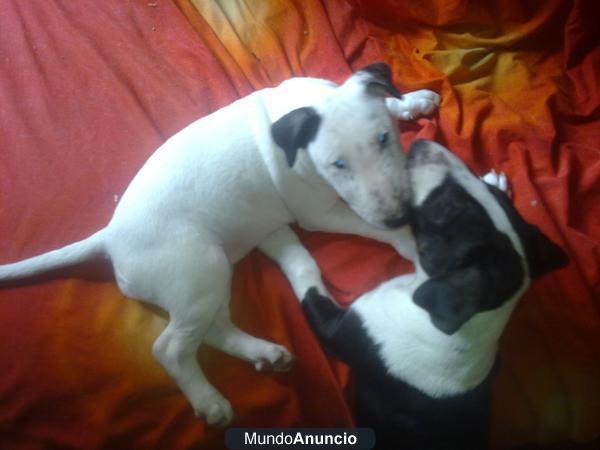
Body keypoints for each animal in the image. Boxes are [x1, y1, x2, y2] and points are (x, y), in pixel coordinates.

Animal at [0, 63, 440, 426]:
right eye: (338, 164)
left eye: (383, 138)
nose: (399, 214)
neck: (295, 114)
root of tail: (109, 236)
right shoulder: (319, 214)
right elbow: (364, 224)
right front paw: (404, 238)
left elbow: (385, 97)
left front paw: (411, 100)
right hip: (202, 269)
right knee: (170, 347)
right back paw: (209, 400)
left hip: (210, 278)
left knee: (212, 328)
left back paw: (263, 353)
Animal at [276, 141, 568, 450]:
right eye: (494, 195)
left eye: (448, 207)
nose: (420, 143)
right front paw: (495, 179)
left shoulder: (337, 332)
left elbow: (305, 273)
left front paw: (281, 239)